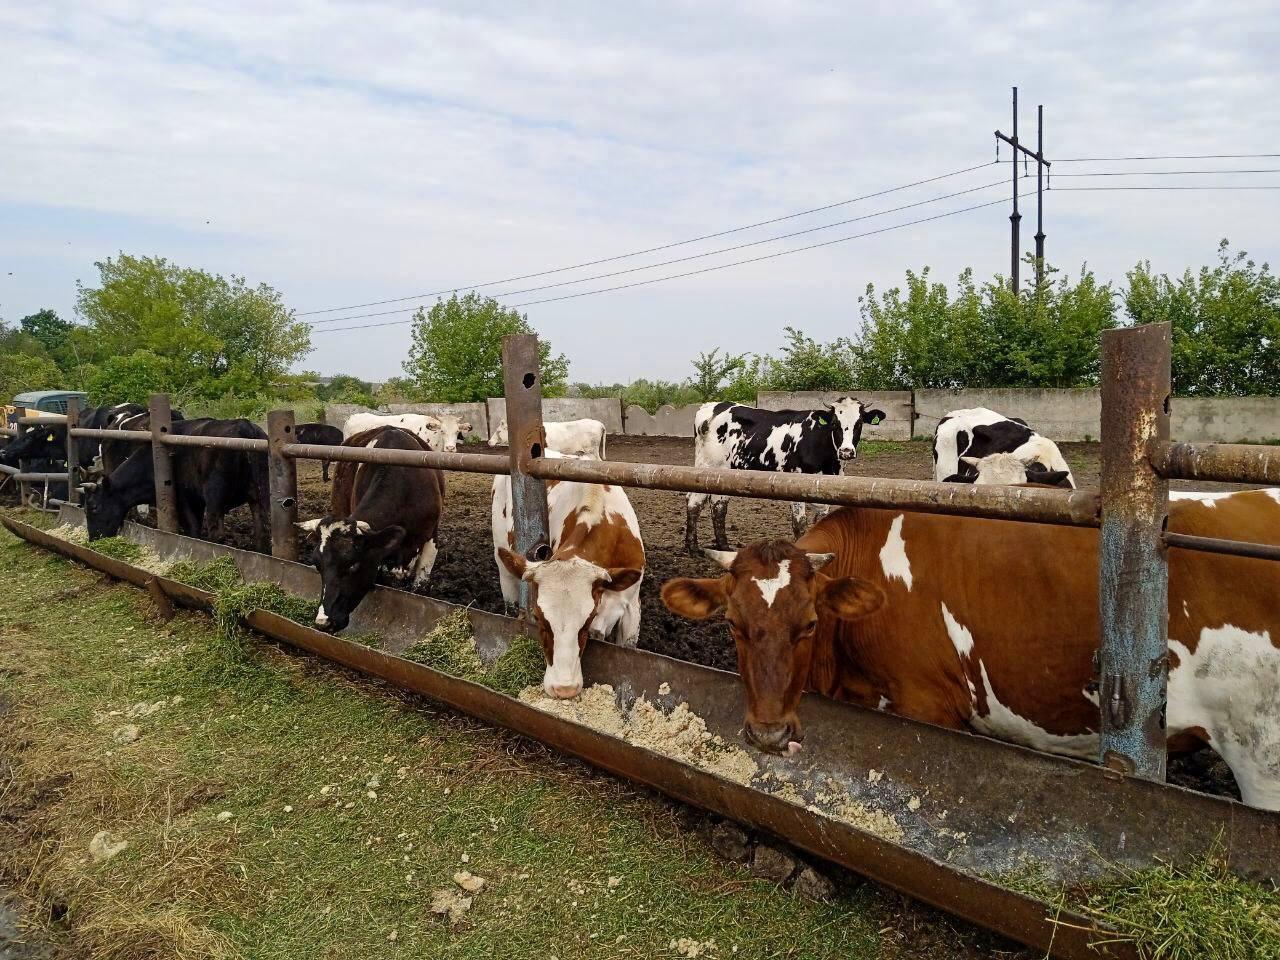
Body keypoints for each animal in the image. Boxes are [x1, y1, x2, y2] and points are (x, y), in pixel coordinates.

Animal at [686, 396, 885, 552]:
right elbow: (800, 525)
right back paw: (692, 547)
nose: (846, 451)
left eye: (859, 424)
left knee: (718, 505)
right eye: (835, 423)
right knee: (694, 501)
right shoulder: (795, 484)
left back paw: (723, 546)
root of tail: (713, 405)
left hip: (726, 473)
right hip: (707, 467)